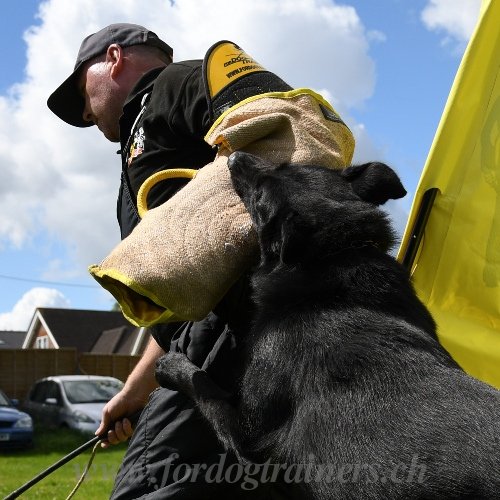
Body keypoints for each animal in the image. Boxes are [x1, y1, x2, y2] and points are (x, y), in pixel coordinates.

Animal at [156, 152, 500, 500]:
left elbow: (205, 389)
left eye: (260, 196)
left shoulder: (249, 439)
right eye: (286, 166)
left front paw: (171, 367)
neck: (334, 254)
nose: (236, 157)